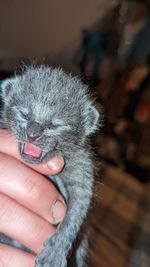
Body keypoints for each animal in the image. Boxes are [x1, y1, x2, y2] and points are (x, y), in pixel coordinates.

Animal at [0, 65, 99, 267]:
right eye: (24, 114)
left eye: (54, 125)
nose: (32, 134)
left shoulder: (82, 171)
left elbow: (75, 215)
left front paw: (54, 253)